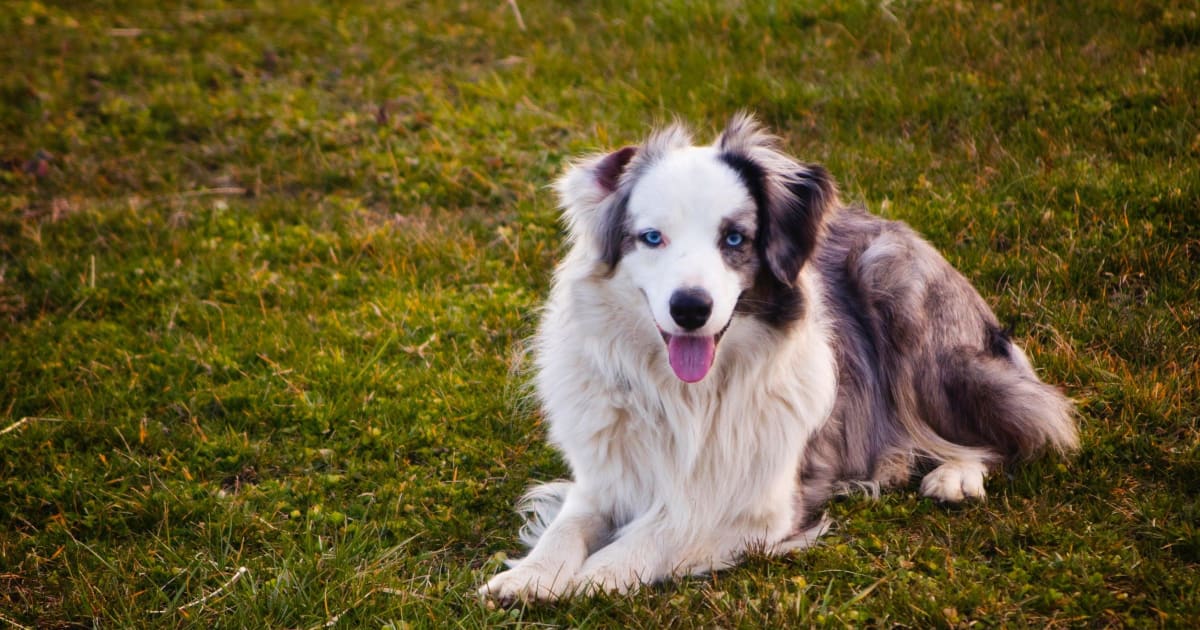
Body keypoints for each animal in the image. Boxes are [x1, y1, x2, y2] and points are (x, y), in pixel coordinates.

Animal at [477, 115, 1080, 602]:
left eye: (734, 239)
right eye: (651, 238)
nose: (690, 308)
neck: (688, 395)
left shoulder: (764, 504)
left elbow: (665, 529)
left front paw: (593, 577)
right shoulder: (607, 476)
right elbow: (567, 526)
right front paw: (529, 577)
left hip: (903, 296)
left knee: (1009, 423)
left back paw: (956, 474)